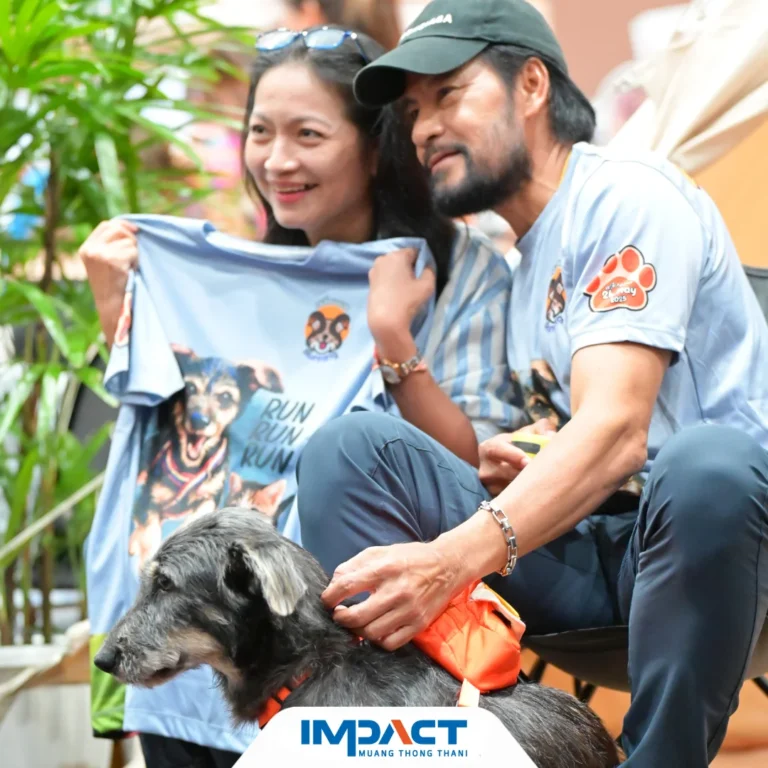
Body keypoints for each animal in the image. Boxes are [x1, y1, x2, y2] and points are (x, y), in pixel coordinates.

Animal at [128, 348, 283, 567]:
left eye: (226, 396)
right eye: (190, 388)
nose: (198, 421)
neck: (190, 467)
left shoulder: (210, 499)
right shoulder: (149, 501)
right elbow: (149, 534)